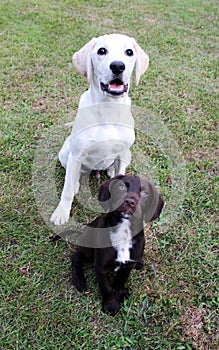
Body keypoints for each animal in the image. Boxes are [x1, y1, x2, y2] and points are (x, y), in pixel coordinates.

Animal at [50, 34, 149, 226]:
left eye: (129, 52)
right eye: (101, 51)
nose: (118, 66)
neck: (108, 109)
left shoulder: (123, 152)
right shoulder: (76, 154)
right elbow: (66, 190)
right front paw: (61, 213)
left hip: (128, 154)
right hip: (66, 154)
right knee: (75, 175)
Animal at [71, 176, 163, 316]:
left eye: (144, 193)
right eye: (121, 187)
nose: (130, 202)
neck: (123, 232)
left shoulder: (128, 266)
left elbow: (121, 280)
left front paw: (120, 293)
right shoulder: (101, 267)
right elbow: (106, 288)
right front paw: (110, 305)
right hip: (87, 250)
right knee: (75, 256)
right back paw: (79, 280)